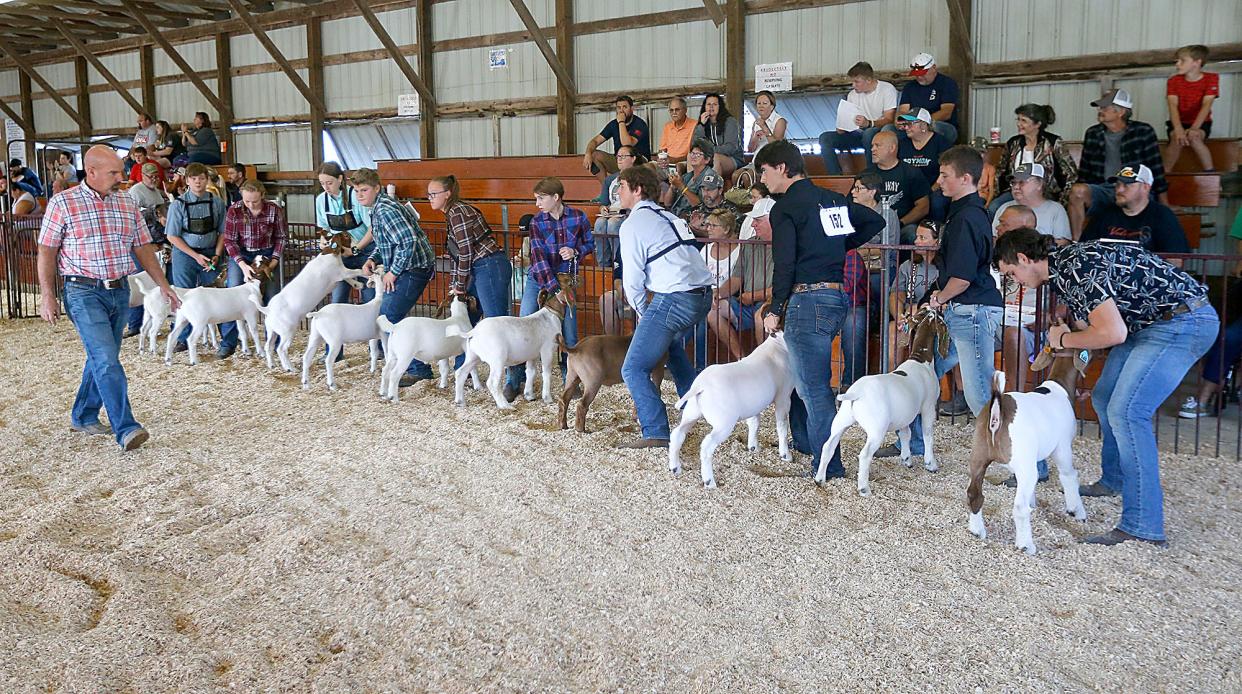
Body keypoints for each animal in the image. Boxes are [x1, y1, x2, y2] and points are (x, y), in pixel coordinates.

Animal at [247, 232, 362, 374]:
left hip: (272, 329)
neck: (329, 252)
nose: (356, 242)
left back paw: (272, 365)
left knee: (269, 346)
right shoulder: (340, 272)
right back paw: (290, 368)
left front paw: (357, 284)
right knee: (281, 349)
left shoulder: (339, 274)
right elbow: (355, 271)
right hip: (288, 331)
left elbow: (349, 279)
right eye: (346, 236)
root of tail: (268, 309)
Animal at [452, 274, 576, 409]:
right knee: (492, 383)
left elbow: (531, 372)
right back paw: (505, 405)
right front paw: (547, 398)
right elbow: (547, 373)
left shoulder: (532, 355)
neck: (550, 315)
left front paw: (529, 395)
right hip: (497, 358)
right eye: (568, 282)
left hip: (473, 356)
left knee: (460, 373)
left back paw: (460, 401)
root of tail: (475, 331)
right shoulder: (547, 351)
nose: (575, 278)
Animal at [670, 330, 794, 489]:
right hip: (724, 423)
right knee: (707, 445)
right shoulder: (783, 396)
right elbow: (782, 426)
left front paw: (753, 447)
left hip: (692, 412)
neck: (776, 346)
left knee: (677, 433)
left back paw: (675, 468)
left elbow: (754, 422)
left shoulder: (753, 405)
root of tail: (699, 386)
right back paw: (709, 481)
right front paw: (785, 455)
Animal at [819, 306, 943, 496]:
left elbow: (906, 434)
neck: (920, 359)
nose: (935, 307)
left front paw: (906, 459)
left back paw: (820, 479)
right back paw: (864, 489)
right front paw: (931, 464)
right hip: (876, 429)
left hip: (841, 421)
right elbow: (927, 435)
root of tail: (857, 392)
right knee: (864, 455)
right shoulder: (928, 407)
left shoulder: (904, 415)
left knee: (827, 446)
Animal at [963, 350, 1092, 556]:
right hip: (1024, 465)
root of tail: (997, 412)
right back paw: (1026, 545)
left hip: (978, 456)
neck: (1058, 387)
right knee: (1019, 507)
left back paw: (977, 530)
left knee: (974, 494)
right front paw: (1076, 511)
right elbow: (1069, 475)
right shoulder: (1062, 447)